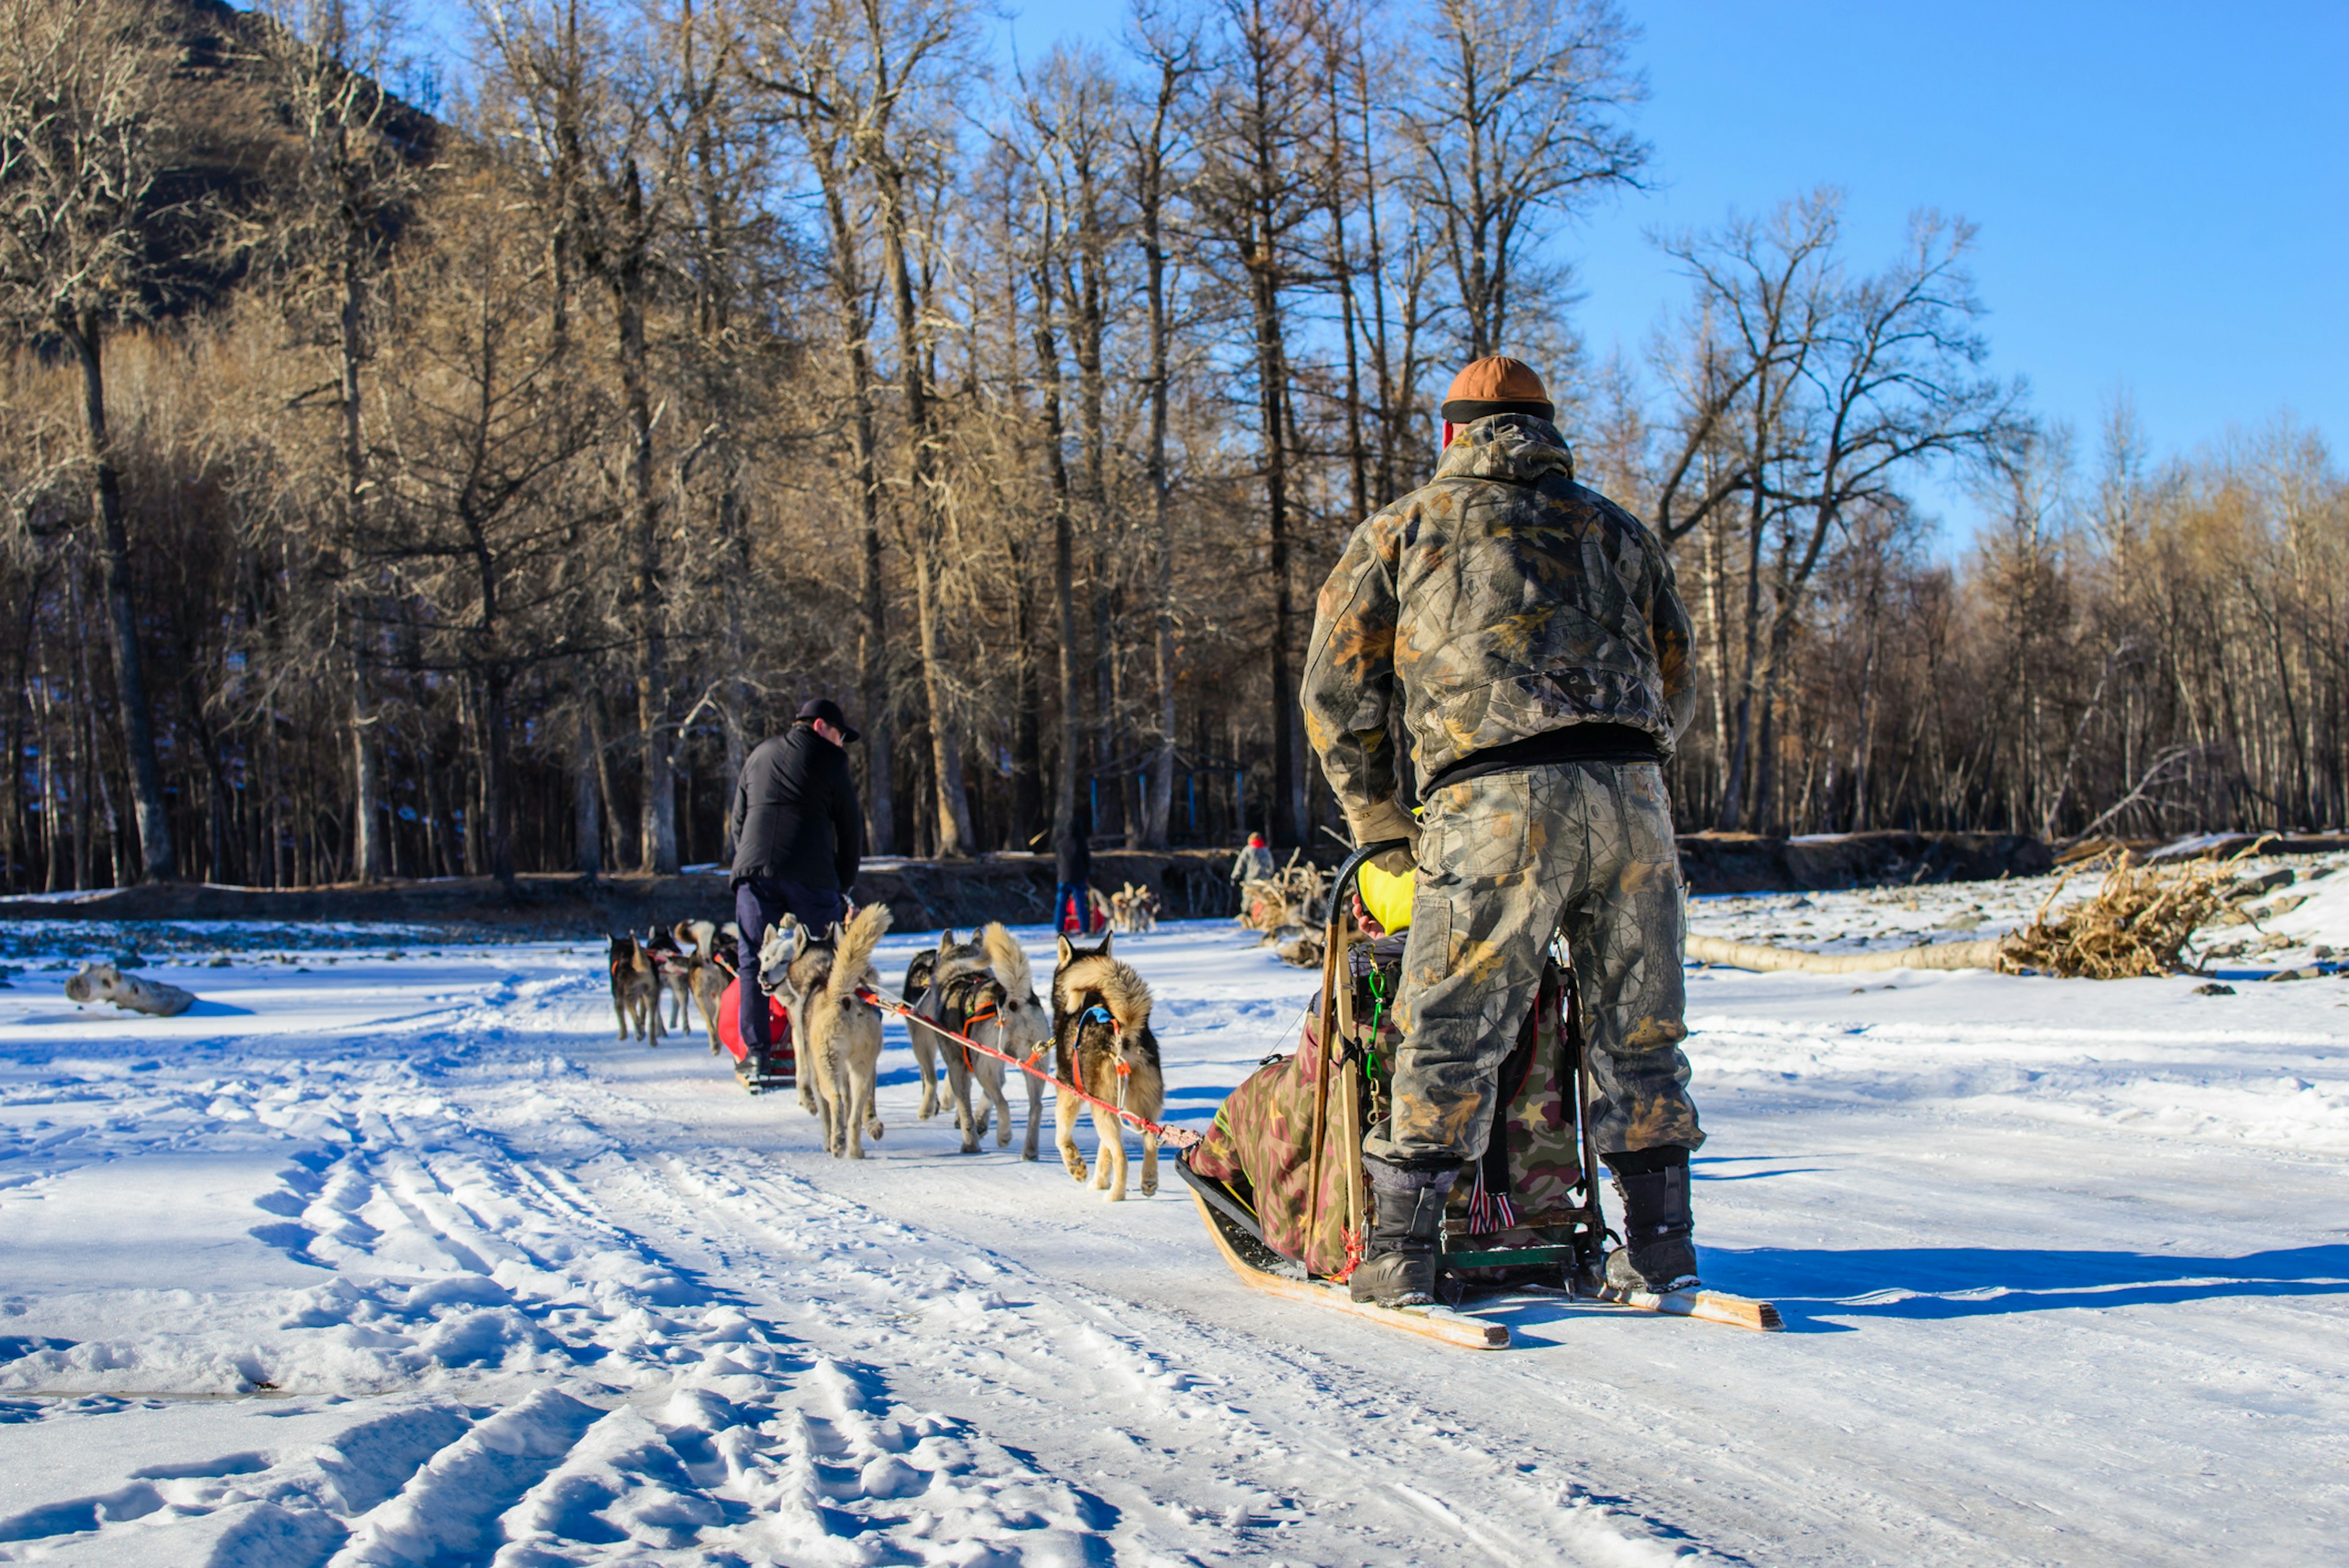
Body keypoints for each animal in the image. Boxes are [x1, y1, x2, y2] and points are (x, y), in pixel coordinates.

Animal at [606, 939, 662, 1046]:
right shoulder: (642, 997)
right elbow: (643, 1015)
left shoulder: (618, 998)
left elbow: (622, 1020)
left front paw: (622, 1036)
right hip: (651, 996)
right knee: (651, 1021)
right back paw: (652, 1041)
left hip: (629, 996)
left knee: (635, 1016)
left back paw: (638, 1034)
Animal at [761, 901, 888, 1159]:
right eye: (768, 958)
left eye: (784, 961)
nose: (763, 974)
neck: (823, 970)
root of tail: (843, 993)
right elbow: (855, 1107)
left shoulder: (809, 1061)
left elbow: (824, 1110)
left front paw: (827, 1140)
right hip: (862, 1066)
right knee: (855, 1113)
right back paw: (855, 1150)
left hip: (826, 1064)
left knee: (835, 1099)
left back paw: (837, 1143)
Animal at [1047, 929, 1165, 1202]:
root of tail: (1124, 1030)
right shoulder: (1104, 1103)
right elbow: (1104, 1153)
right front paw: (1099, 1181)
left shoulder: (1069, 1090)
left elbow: (1061, 1135)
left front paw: (1076, 1166)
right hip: (1136, 1107)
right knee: (1149, 1141)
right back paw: (1148, 1181)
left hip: (1105, 1108)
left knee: (1122, 1155)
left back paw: (1115, 1196)